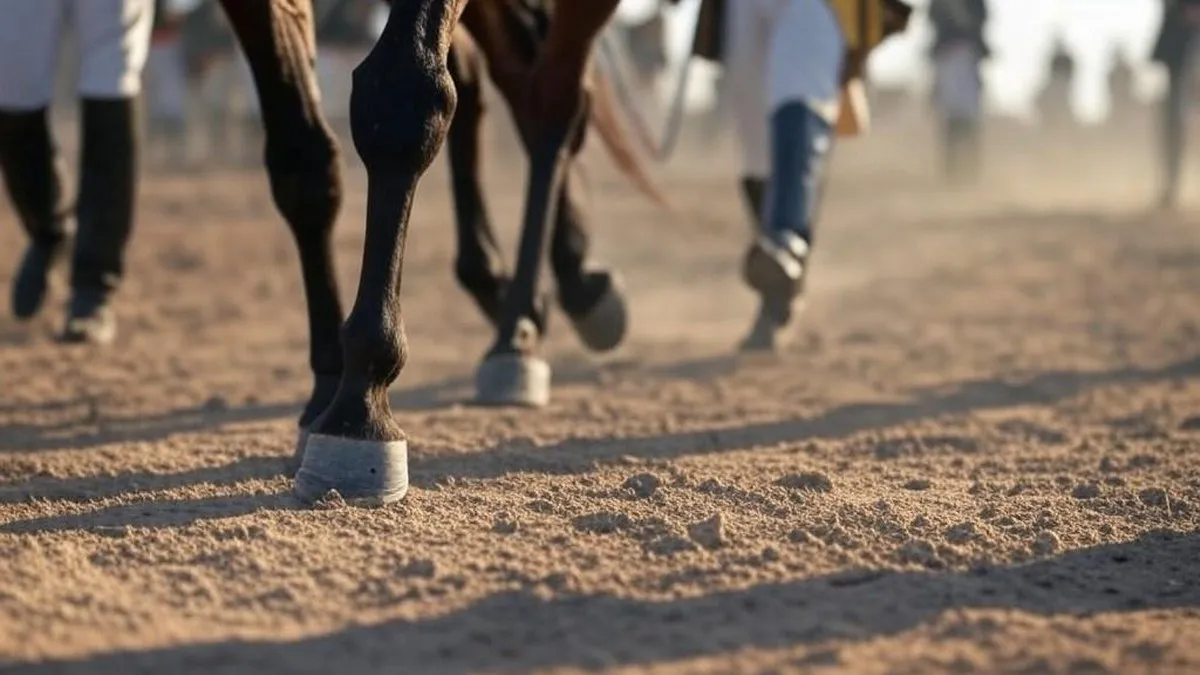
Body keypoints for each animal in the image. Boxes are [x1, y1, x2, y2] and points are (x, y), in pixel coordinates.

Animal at [220, 0, 643, 502]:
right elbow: (302, 162)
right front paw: (328, 388)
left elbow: (402, 91)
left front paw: (360, 407)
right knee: (518, 81)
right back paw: (536, 303)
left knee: (552, 98)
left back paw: (520, 326)